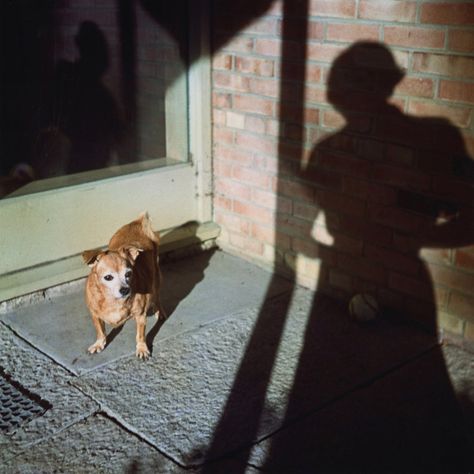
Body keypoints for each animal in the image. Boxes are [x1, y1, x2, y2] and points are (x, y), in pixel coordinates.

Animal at [81, 212, 163, 360]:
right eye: (108, 277)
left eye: (128, 274)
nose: (125, 289)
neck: (112, 300)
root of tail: (137, 223)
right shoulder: (95, 314)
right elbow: (100, 330)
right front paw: (99, 343)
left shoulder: (141, 316)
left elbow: (140, 335)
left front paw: (142, 348)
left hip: (157, 280)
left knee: (157, 297)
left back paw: (160, 312)